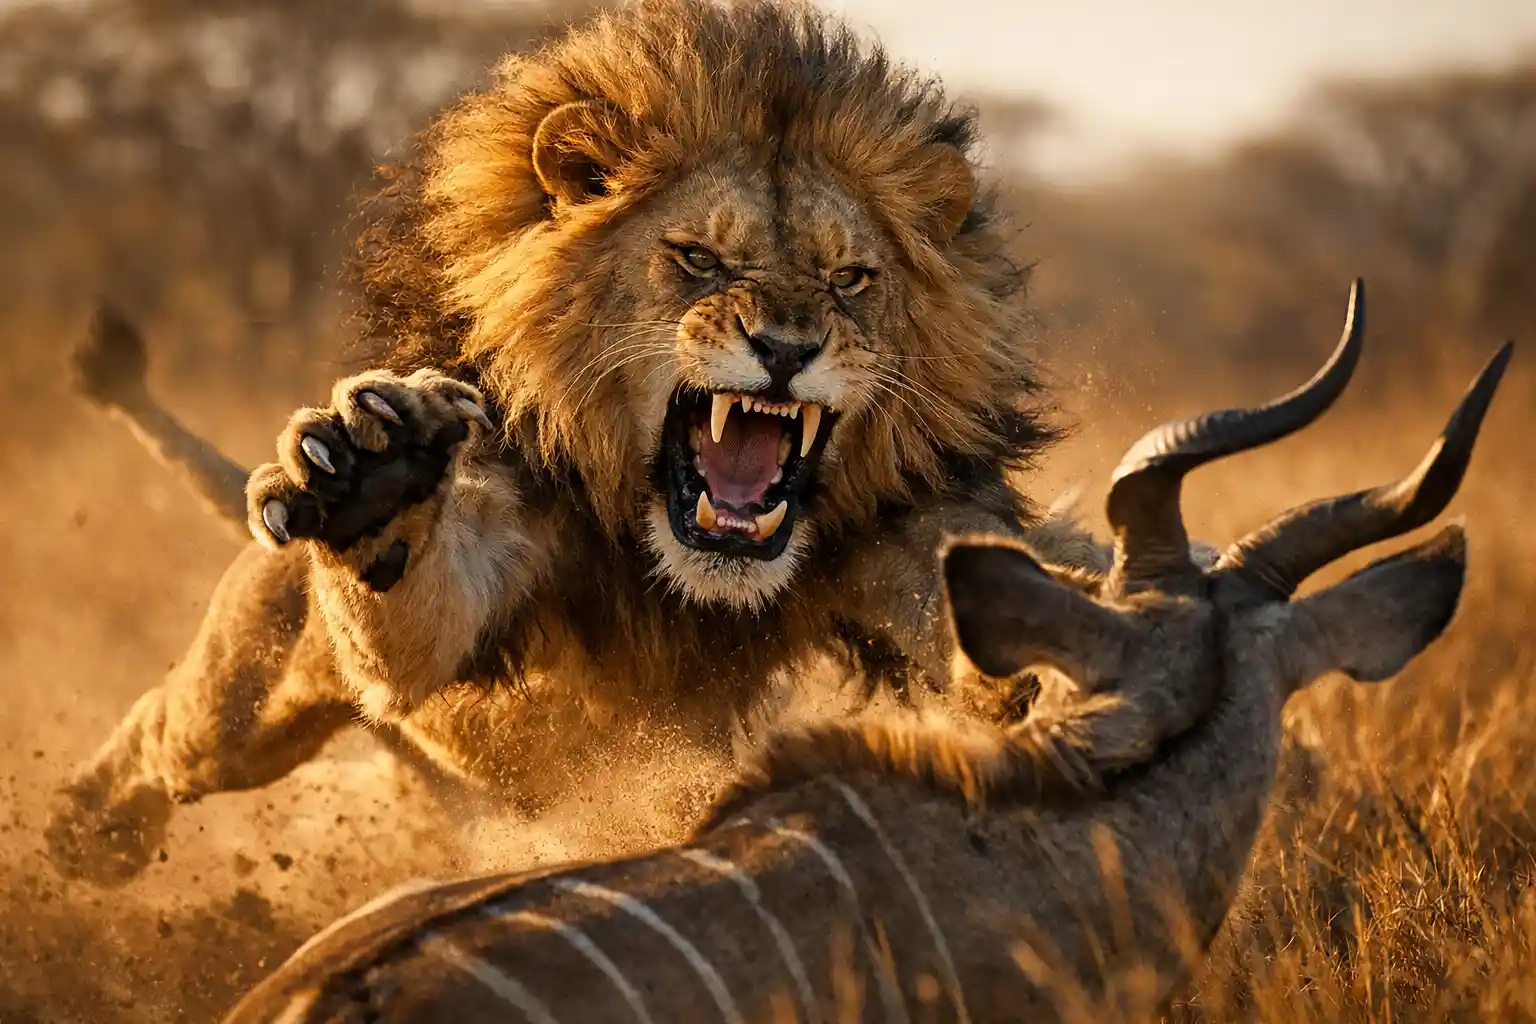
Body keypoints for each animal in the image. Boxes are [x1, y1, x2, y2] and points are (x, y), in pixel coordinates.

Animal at [48, 0, 1115, 886]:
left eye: (849, 277)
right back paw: (84, 833)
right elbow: (416, 609)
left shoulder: (902, 538)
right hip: (249, 684)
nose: (785, 348)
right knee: (169, 733)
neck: (690, 573)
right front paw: (374, 479)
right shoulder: (493, 551)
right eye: (697, 259)